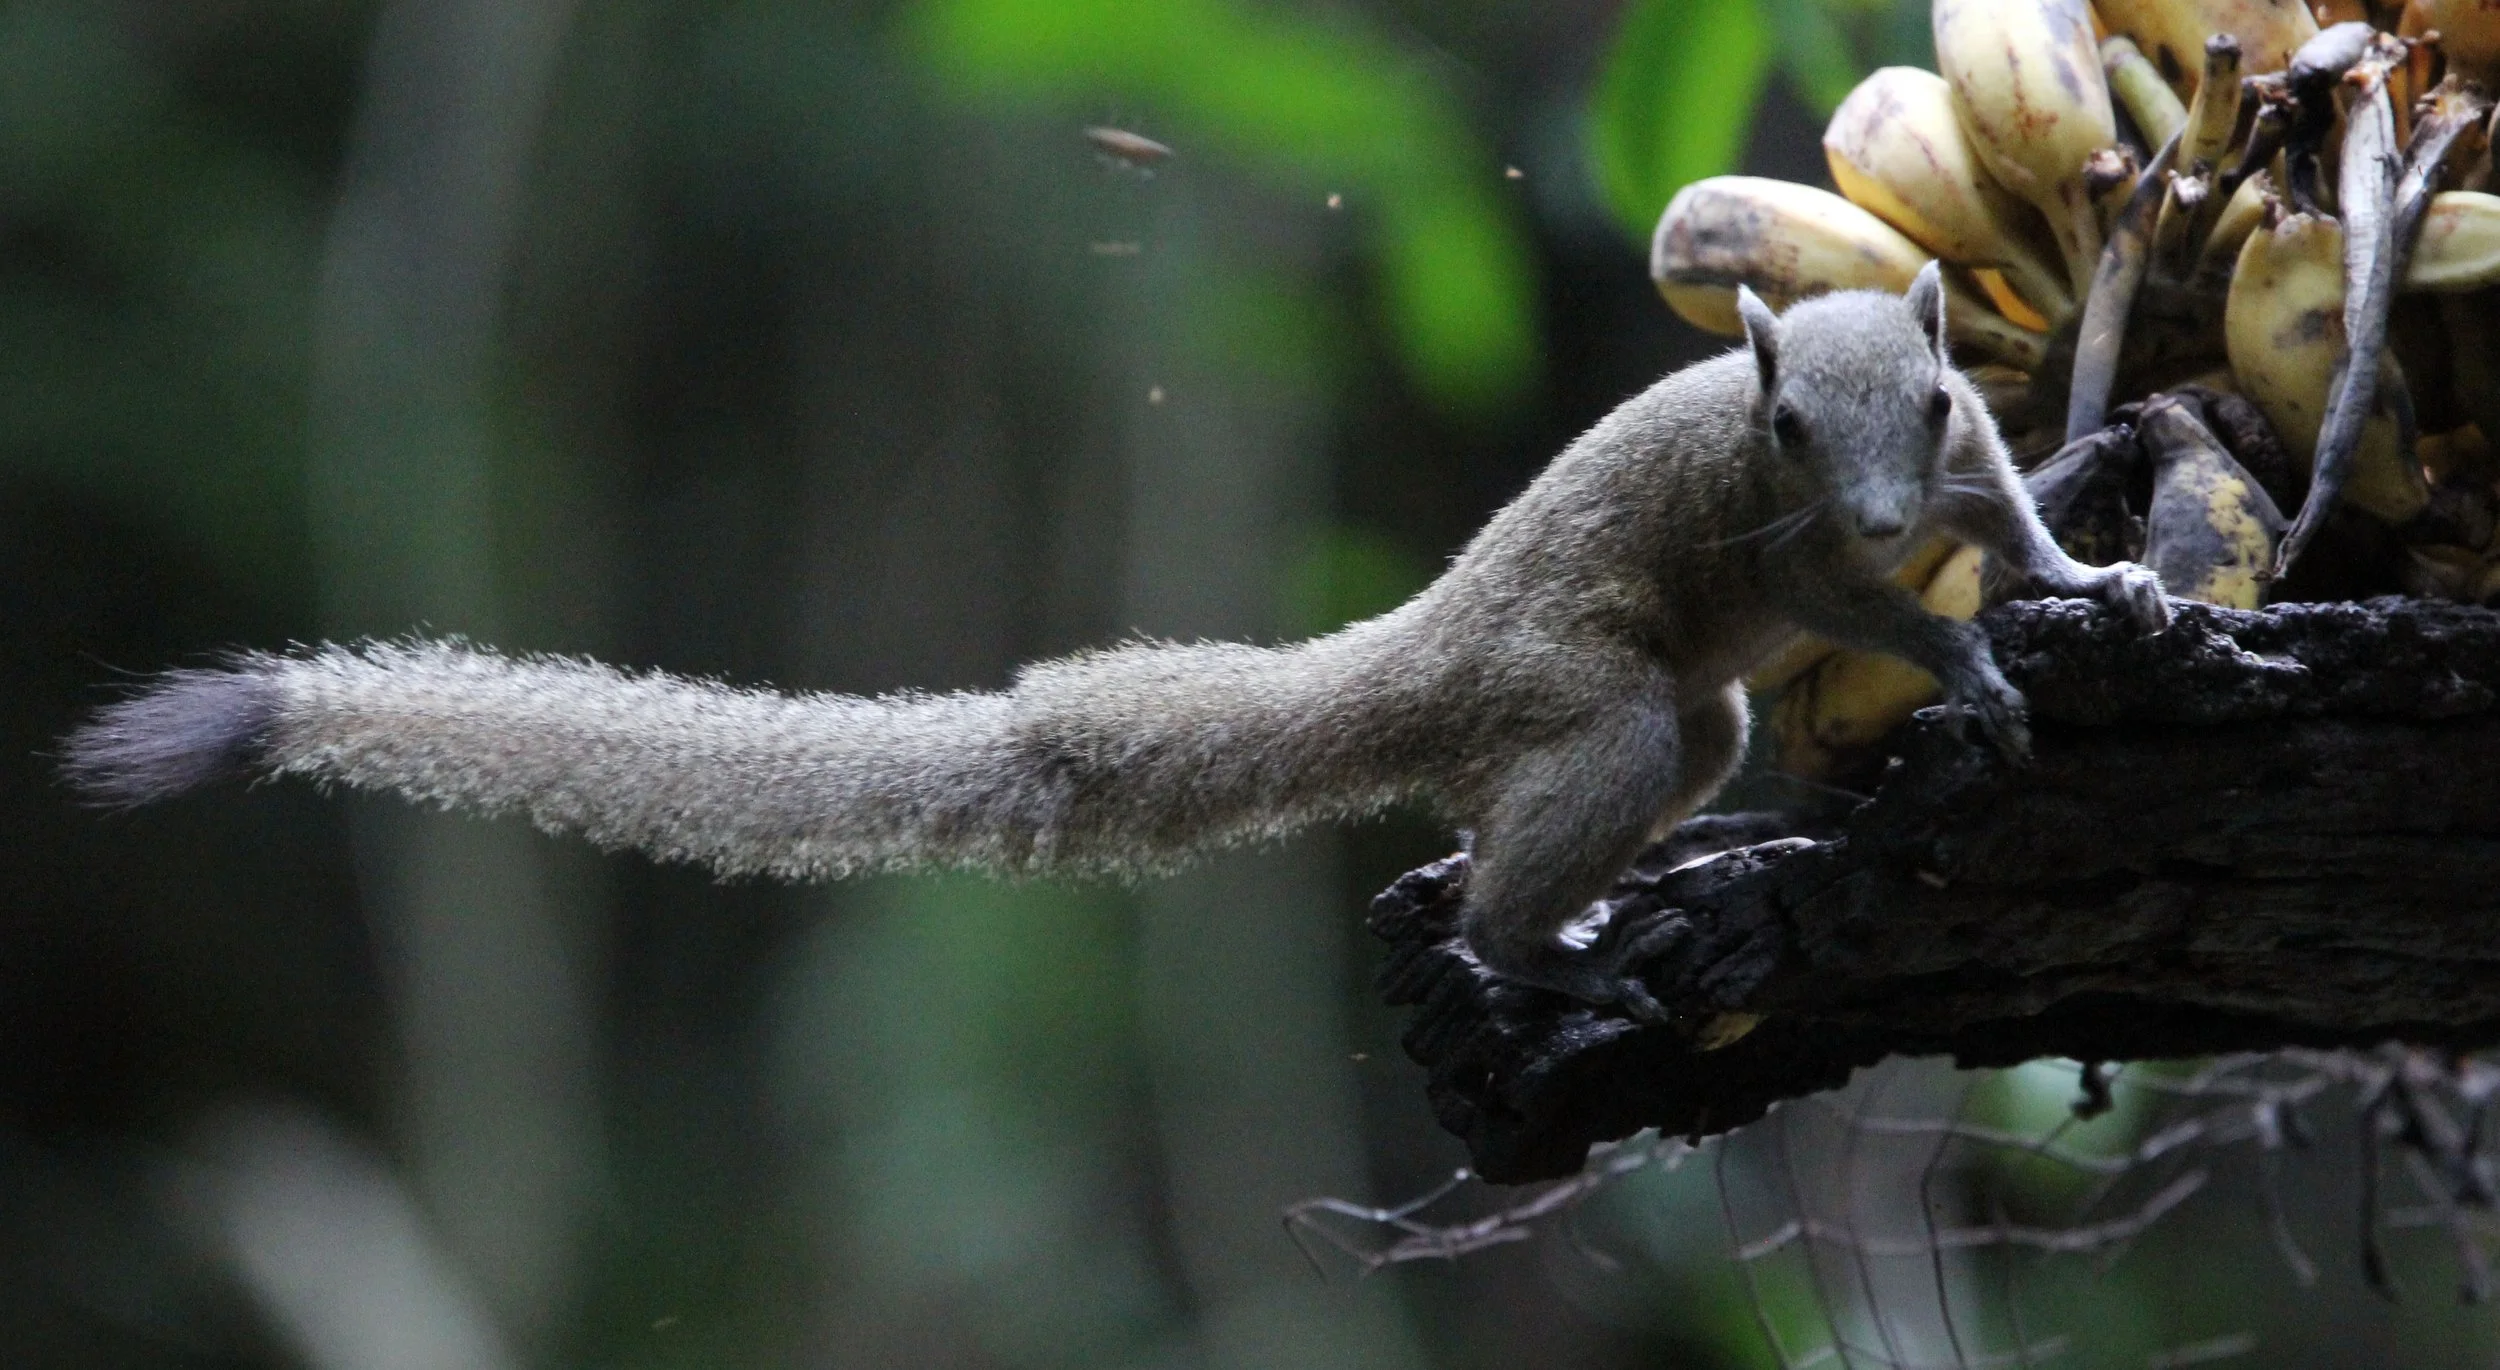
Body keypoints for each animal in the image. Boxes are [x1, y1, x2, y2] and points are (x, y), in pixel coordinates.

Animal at [62, 264, 2170, 1018]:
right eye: (1783, 426)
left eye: (1928, 390)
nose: (1880, 513)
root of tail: (1413, 648)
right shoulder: (1782, 556)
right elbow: (1854, 608)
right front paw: (1970, 668)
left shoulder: (1962, 471)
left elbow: (2024, 533)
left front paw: (2098, 582)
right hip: (1610, 706)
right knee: (1511, 867)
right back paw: (1546, 953)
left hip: (1688, 722)